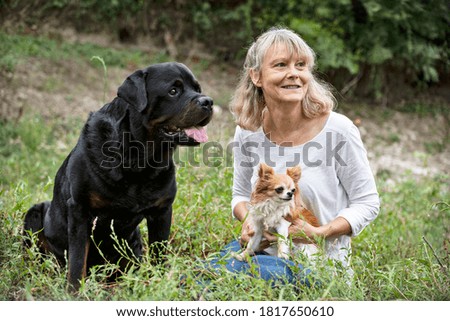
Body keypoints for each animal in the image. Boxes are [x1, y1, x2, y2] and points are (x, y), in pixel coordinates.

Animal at [23, 62, 214, 290]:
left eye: (198, 88)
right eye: (173, 91)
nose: (208, 101)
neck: (138, 159)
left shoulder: (162, 210)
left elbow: (159, 253)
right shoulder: (80, 210)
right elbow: (77, 259)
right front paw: (74, 291)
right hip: (34, 214)